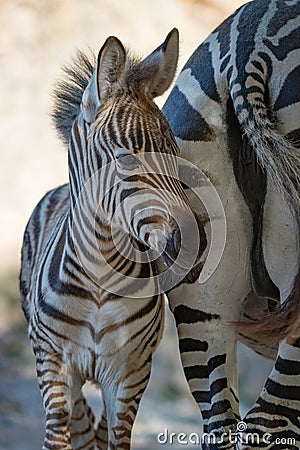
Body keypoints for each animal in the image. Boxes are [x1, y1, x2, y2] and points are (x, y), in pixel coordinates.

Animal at [18, 31, 206, 450]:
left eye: (175, 155)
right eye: (127, 159)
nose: (194, 246)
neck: (101, 277)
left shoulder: (130, 372)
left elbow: (116, 438)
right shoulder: (52, 362)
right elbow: (59, 433)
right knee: (77, 420)